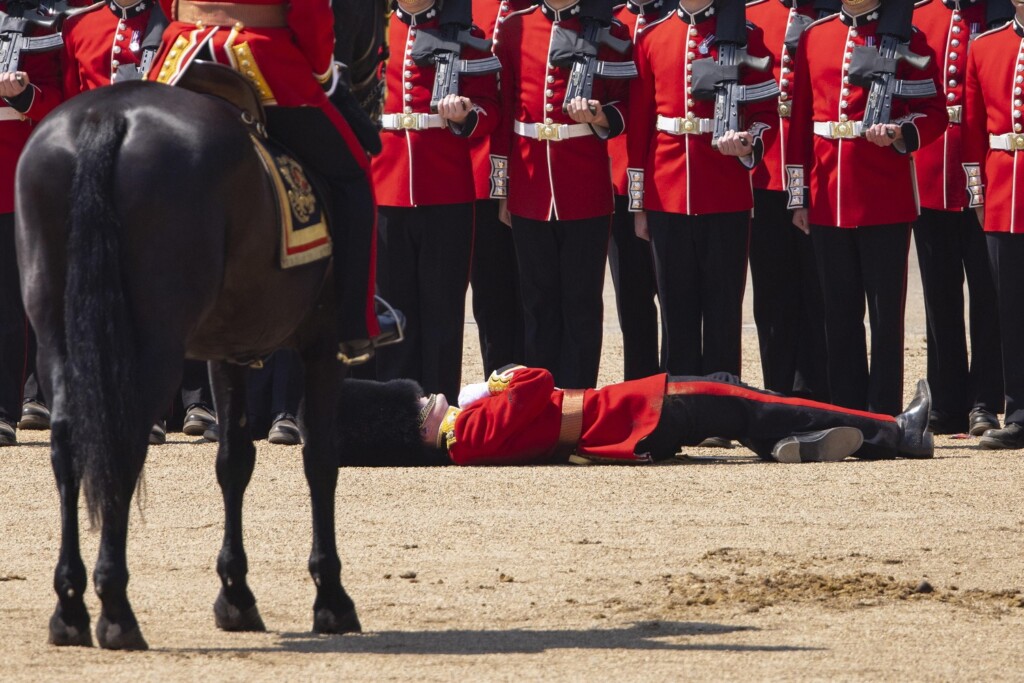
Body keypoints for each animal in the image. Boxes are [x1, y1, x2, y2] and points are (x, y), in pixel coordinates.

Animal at [16, 0, 391, 655]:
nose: (368, 92)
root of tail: (105, 119)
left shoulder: (227, 349)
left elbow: (232, 461)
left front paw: (236, 596)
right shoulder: (321, 347)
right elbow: (321, 459)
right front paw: (332, 599)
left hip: (61, 332)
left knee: (68, 441)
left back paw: (69, 609)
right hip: (153, 343)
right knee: (122, 439)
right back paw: (116, 611)